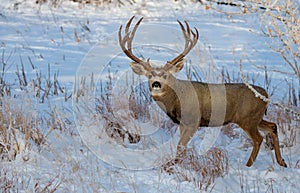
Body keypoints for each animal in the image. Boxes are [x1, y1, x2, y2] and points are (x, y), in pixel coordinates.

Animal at [118, 15, 288, 168]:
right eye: (149, 75)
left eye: (166, 75)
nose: (156, 84)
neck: (176, 99)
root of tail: (266, 95)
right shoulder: (182, 123)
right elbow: (180, 145)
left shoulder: (193, 121)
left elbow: (180, 146)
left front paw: (172, 166)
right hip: (255, 118)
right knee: (273, 126)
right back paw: (282, 162)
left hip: (247, 118)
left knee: (258, 139)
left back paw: (248, 165)